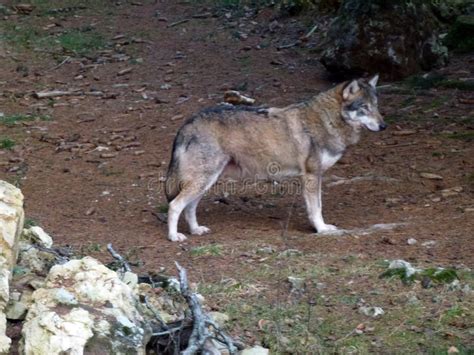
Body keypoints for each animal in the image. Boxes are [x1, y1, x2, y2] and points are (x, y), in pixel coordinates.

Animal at [165, 75, 384, 242]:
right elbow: (316, 208)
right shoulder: (312, 175)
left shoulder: (315, 176)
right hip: (203, 180)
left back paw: (195, 230)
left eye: (376, 106)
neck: (328, 120)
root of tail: (188, 122)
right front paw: (321, 229)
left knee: (189, 207)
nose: (384, 126)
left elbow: (317, 206)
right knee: (175, 205)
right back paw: (174, 237)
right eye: (364, 107)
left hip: (207, 181)